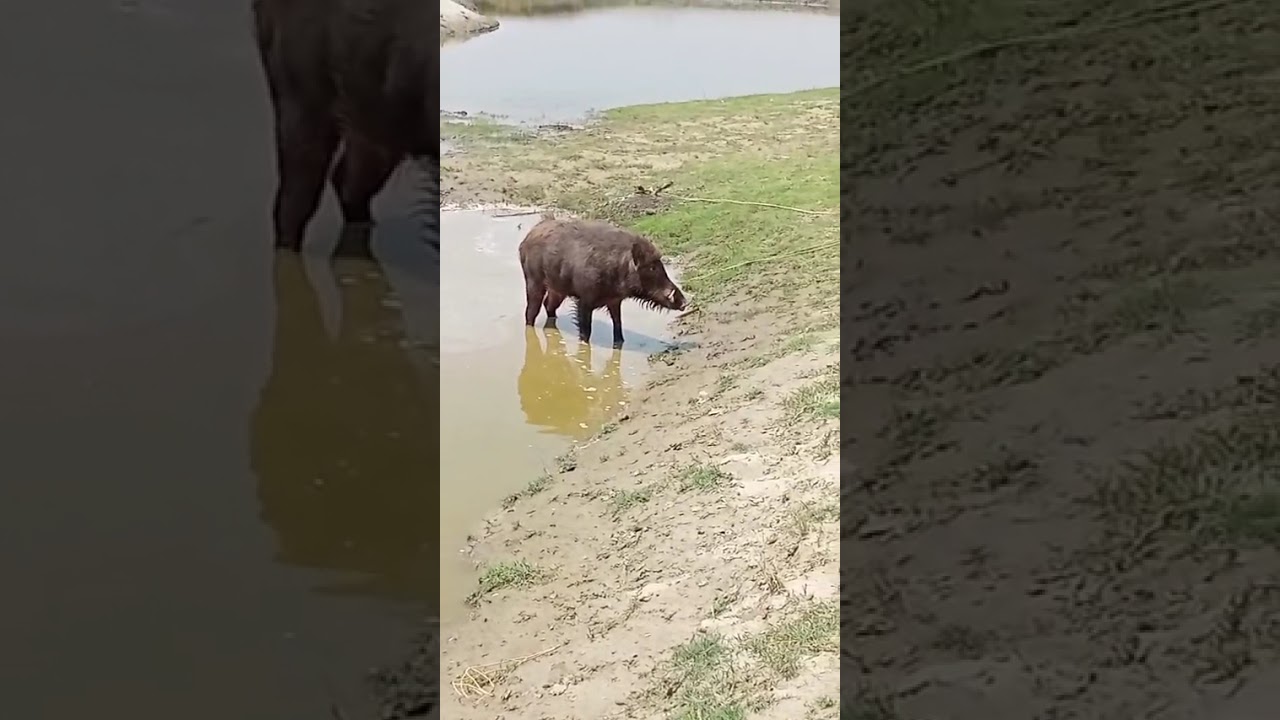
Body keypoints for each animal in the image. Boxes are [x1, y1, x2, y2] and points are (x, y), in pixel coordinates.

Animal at [518, 217, 688, 347]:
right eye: (652, 267)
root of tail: (527, 237)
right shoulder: (584, 299)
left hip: (558, 288)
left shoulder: (614, 300)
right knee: (531, 312)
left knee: (548, 305)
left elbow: (618, 324)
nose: (685, 302)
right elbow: (586, 331)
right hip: (532, 279)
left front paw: (619, 343)